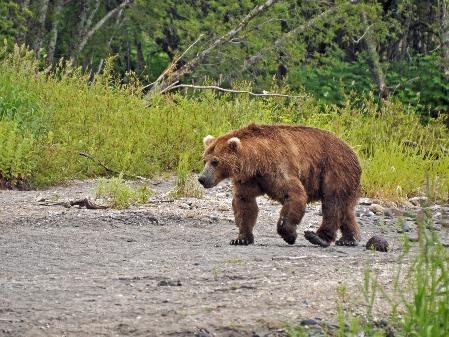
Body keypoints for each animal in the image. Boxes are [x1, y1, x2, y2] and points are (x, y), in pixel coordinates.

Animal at [198, 123, 362, 247]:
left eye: (215, 162)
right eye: (204, 159)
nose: (202, 178)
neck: (257, 161)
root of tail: (353, 152)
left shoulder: (279, 166)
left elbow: (293, 193)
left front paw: (289, 235)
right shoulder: (248, 179)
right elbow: (244, 203)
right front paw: (241, 239)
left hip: (335, 171)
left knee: (333, 202)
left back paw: (318, 237)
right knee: (346, 208)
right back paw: (349, 239)